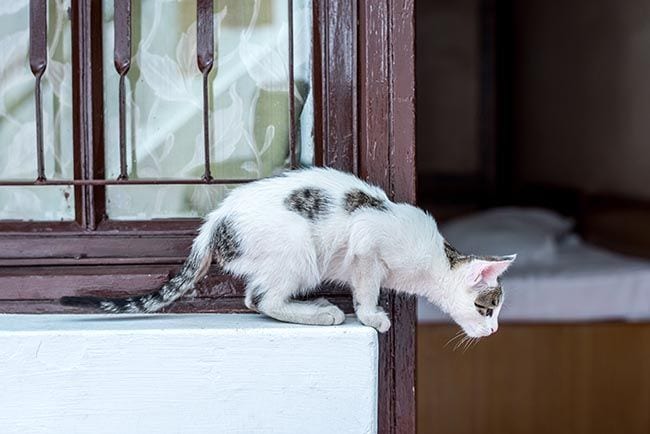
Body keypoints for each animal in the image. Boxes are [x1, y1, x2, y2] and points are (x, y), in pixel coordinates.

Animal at [62, 168, 516, 338]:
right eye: (487, 308)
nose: (494, 330)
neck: (434, 262)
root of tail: (215, 221)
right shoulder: (367, 238)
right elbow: (366, 284)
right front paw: (371, 316)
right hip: (299, 247)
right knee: (261, 298)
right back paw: (322, 313)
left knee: (254, 297)